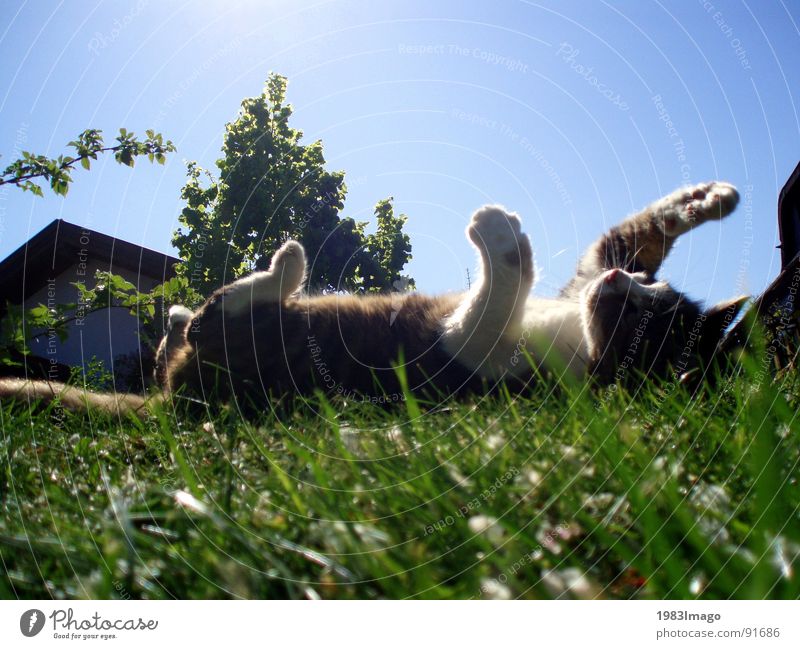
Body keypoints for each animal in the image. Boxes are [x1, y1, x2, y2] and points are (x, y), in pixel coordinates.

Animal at [0, 181, 744, 416]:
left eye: (643, 327)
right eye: (650, 290)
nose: (623, 286)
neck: (574, 337)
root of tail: (170, 402)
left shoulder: (458, 361)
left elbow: (503, 284)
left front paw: (499, 232)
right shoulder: (585, 273)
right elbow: (622, 237)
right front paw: (711, 198)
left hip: (244, 350)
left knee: (221, 313)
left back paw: (283, 267)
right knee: (190, 325)